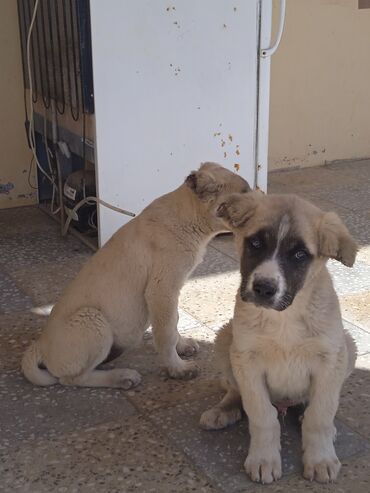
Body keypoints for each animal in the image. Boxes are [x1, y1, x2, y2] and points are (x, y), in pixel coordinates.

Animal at [22, 164, 249, 388]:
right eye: (245, 193)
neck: (187, 216)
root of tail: (39, 345)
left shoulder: (169, 294)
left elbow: (174, 321)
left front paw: (182, 346)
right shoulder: (162, 290)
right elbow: (166, 333)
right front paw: (177, 368)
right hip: (93, 321)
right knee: (73, 379)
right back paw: (122, 377)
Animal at [201, 192, 356, 484]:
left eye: (299, 255)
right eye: (255, 243)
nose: (264, 288)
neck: (284, 317)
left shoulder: (331, 358)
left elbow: (320, 414)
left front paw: (320, 458)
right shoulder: (247, 359)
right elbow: (262, 415)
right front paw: (263, 459)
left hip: (348, 347)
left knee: (312, 406)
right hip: (225, 341)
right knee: (235, 391)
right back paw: (223, 410)